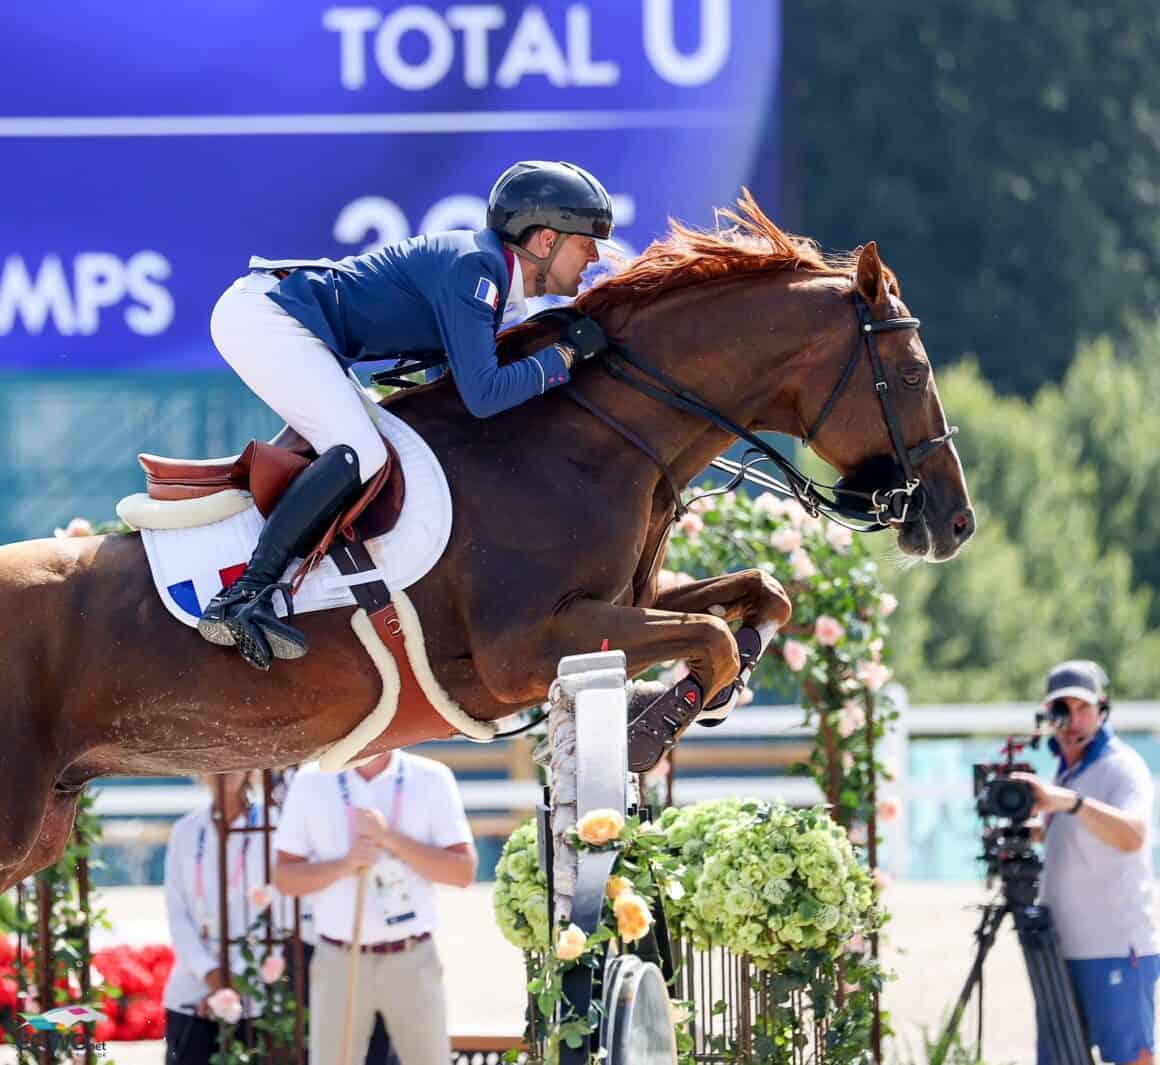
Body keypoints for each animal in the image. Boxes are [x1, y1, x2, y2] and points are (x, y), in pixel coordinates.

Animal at [0, 196, 969, 886]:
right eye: (911, 371)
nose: (952, 522)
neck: (593, 437)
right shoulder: (523, 648)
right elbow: (711, 635)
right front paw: (653, 729)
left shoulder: (617, 602)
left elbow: (760, 596)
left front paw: (701, 694)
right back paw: (245, 611)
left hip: (43, 823)